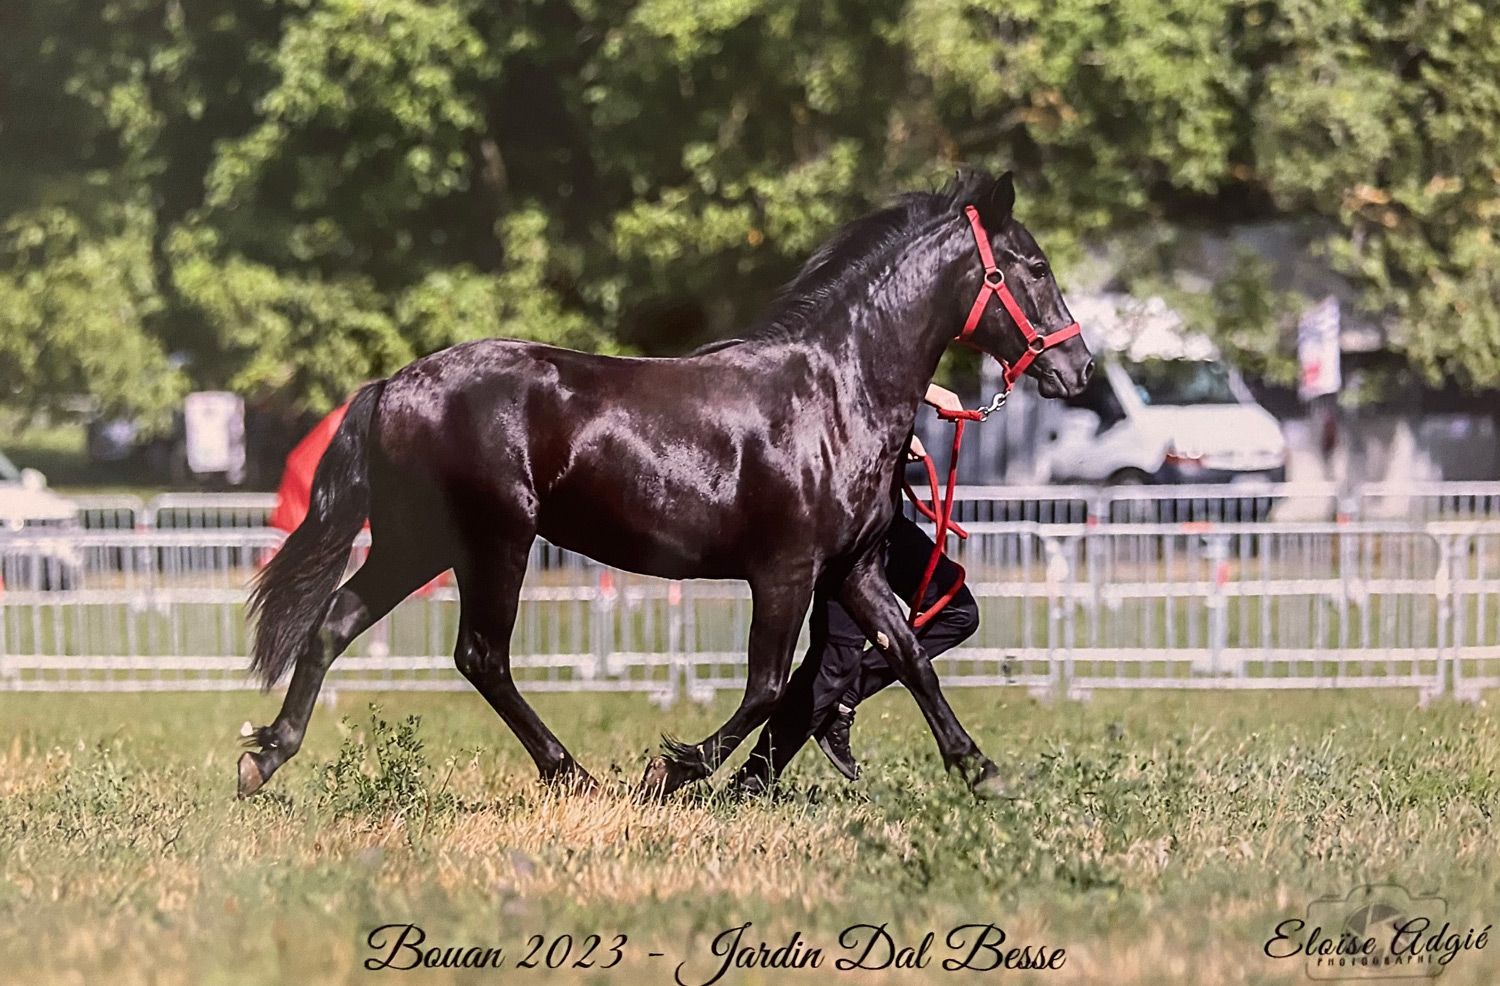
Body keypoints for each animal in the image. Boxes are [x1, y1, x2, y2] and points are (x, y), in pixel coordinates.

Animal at [237, 169, 1094, 801]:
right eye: (1036, 266)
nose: (1078, 367)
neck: (834, 392)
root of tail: (393, 385)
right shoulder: (785, 571)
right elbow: (765, 685)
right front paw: (672, 769)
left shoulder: (852, 568)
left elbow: (909, 652)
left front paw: (980, 770)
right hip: (494, 541)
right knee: (480, 656)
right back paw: (574, 775)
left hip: (419, 543)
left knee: (335, 624)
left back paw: (264, 754)